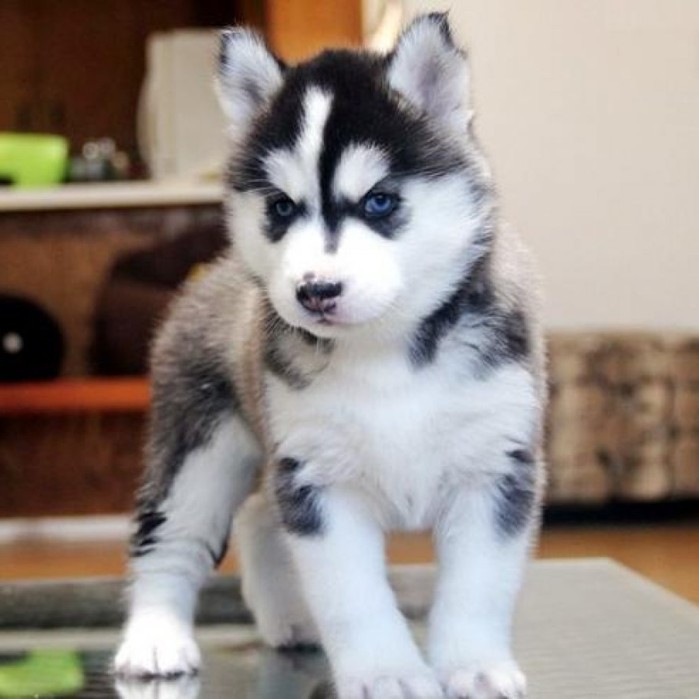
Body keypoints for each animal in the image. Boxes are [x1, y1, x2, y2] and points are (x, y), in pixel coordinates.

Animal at [113, 12, 548, 699]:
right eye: (281, 207)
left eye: (379, 201)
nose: (314, 291)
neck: (386, 351)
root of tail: (213, 269)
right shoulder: (321, 484)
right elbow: (352, 595)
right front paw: (386, 671)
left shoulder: (495, 468)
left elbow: (478, 588)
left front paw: (472, 665)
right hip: (198, 447)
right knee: (173, 537)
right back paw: (156, 637)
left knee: (258, 516)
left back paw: (288, 618)